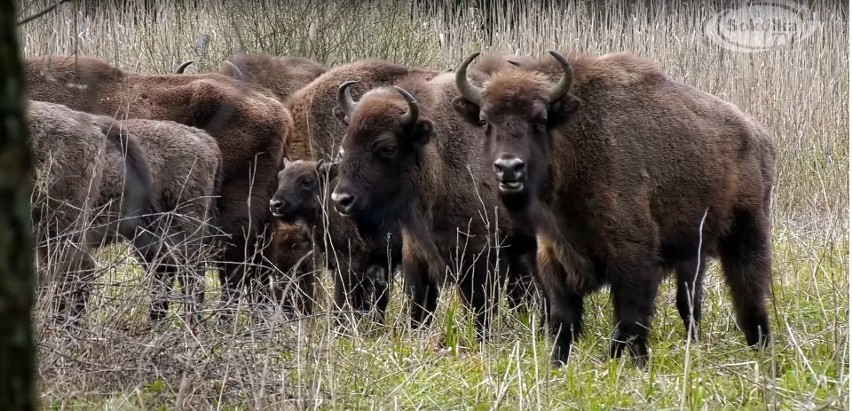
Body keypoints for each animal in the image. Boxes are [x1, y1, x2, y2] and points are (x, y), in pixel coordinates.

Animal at [330, 73, 544, 338]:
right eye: (345, 145)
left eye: (387, 147)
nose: (341, 199)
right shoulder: (416, 254)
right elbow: (419, 307)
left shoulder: (481, 254)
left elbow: (479, 306)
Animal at [456, 50, 776, 368]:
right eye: (485, 121)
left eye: (541, 118)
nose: (509, 168)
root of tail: (759, 136)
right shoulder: (553, 256)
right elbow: (564, 321)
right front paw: (558, 365)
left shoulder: (632, 256)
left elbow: (630, 319)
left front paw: (634, 364)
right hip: (695, 250)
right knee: (691, 300)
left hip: (747, 233)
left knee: (749, 293)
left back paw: (760, 346)